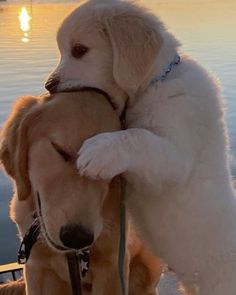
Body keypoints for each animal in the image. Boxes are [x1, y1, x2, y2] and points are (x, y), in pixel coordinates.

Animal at [45, 0, 236, 295]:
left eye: (79, 50)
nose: (48, 86)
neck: (155, 83)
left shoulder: (176, 155)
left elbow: (138, 137)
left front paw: (98, 152)